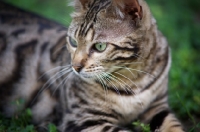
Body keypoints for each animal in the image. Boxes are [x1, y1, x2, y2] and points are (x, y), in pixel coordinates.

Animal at [0, 0, 184, 132]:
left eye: (100, 46)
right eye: (73, 42)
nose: (75, 67)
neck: (133, 80)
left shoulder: (157, 107)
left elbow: (173, 126)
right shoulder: (84, 119)